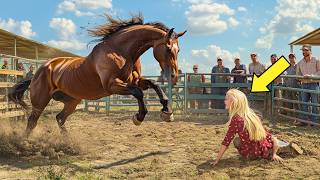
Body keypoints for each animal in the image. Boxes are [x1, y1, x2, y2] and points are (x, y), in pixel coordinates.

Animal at [8, 14, 186, 136]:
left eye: (179, 50)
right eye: (168, 49)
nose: (174, 77)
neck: (121, 51)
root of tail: (37, 73)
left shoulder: (136, 81)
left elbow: (154, 85)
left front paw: (167, 112)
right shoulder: (112, 85)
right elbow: (138, 93)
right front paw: (139, 117)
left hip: (72, 101)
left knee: (59, 118)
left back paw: (68, 142)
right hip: (40, 101)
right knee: (32, 122)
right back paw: (24, 144)